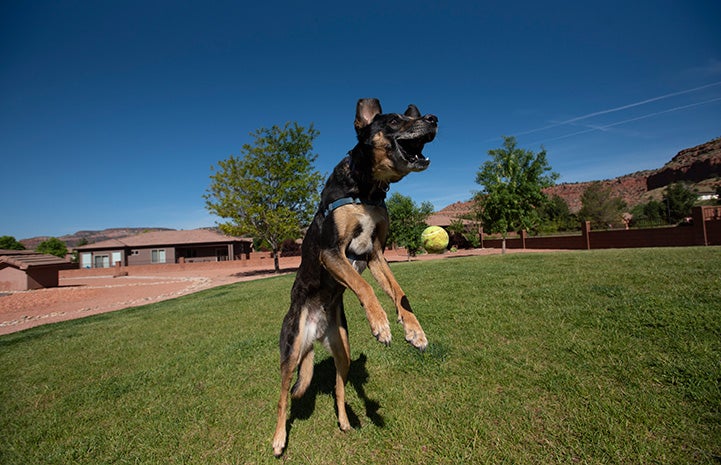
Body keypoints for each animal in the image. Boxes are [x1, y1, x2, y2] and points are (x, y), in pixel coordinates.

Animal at [272, 98, 436, 456]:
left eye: (414, 116)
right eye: (394, 121)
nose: (433, 119)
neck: (366, 188)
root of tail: (315, 334)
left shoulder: (375, 254)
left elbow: (399, 292)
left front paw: (413, 329)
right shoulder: (332, 253)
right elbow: (363, 286)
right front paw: (380, 323)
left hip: (343, 350)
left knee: (338, 386)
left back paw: (346, 420)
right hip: (291, 350)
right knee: (282, 397)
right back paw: (278, 439)